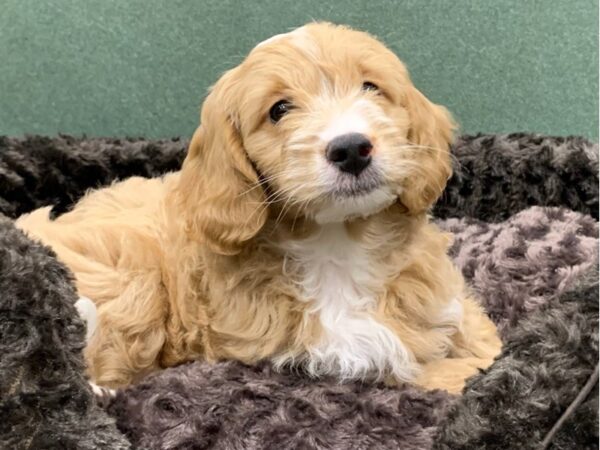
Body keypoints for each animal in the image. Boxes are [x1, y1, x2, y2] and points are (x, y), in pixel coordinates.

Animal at [15, 22, 502, 392]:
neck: (337, 242)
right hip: (131, 279)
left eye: (371, 88)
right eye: (279, 110)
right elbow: (428, 370)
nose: (350, 148)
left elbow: (479, 341)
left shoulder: (442, 300)